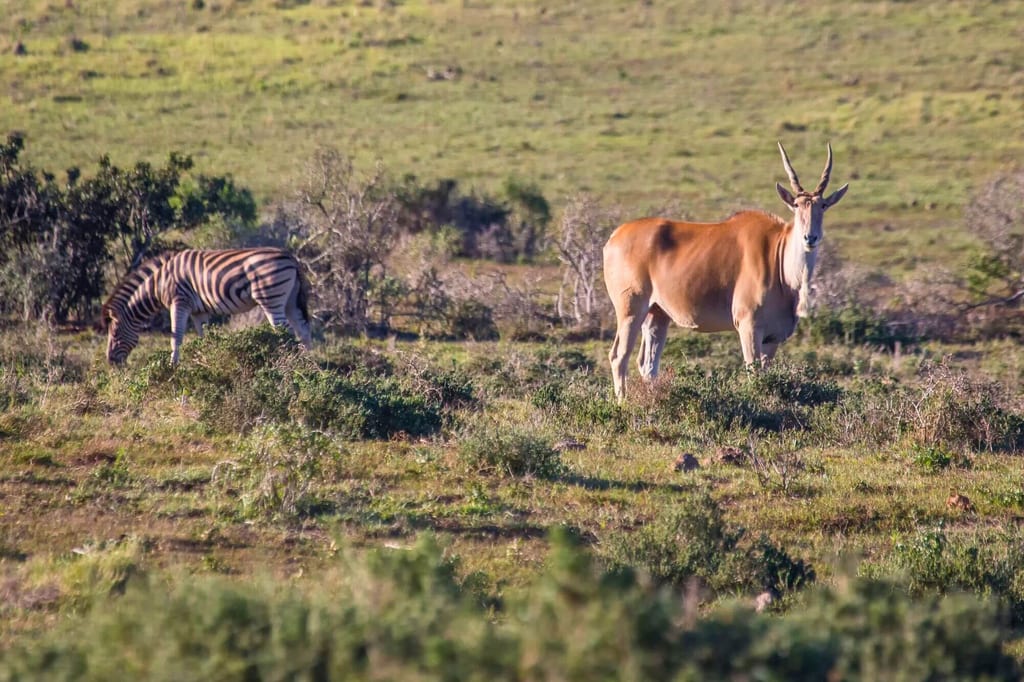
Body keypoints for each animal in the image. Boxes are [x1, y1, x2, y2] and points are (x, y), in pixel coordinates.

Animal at [101, 248, 313, 365]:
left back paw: (289, 363)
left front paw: (172, 367)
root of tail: (290, 257)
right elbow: (204, 337)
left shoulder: (179, 301)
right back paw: (310, 366)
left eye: (114, 334)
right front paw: (207, 359)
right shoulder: (199, 311)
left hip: (271, 298)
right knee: (303, 331)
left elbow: (176, 337)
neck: (159, 282)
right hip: (291, 301)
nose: (110, 362)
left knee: (286, 333)